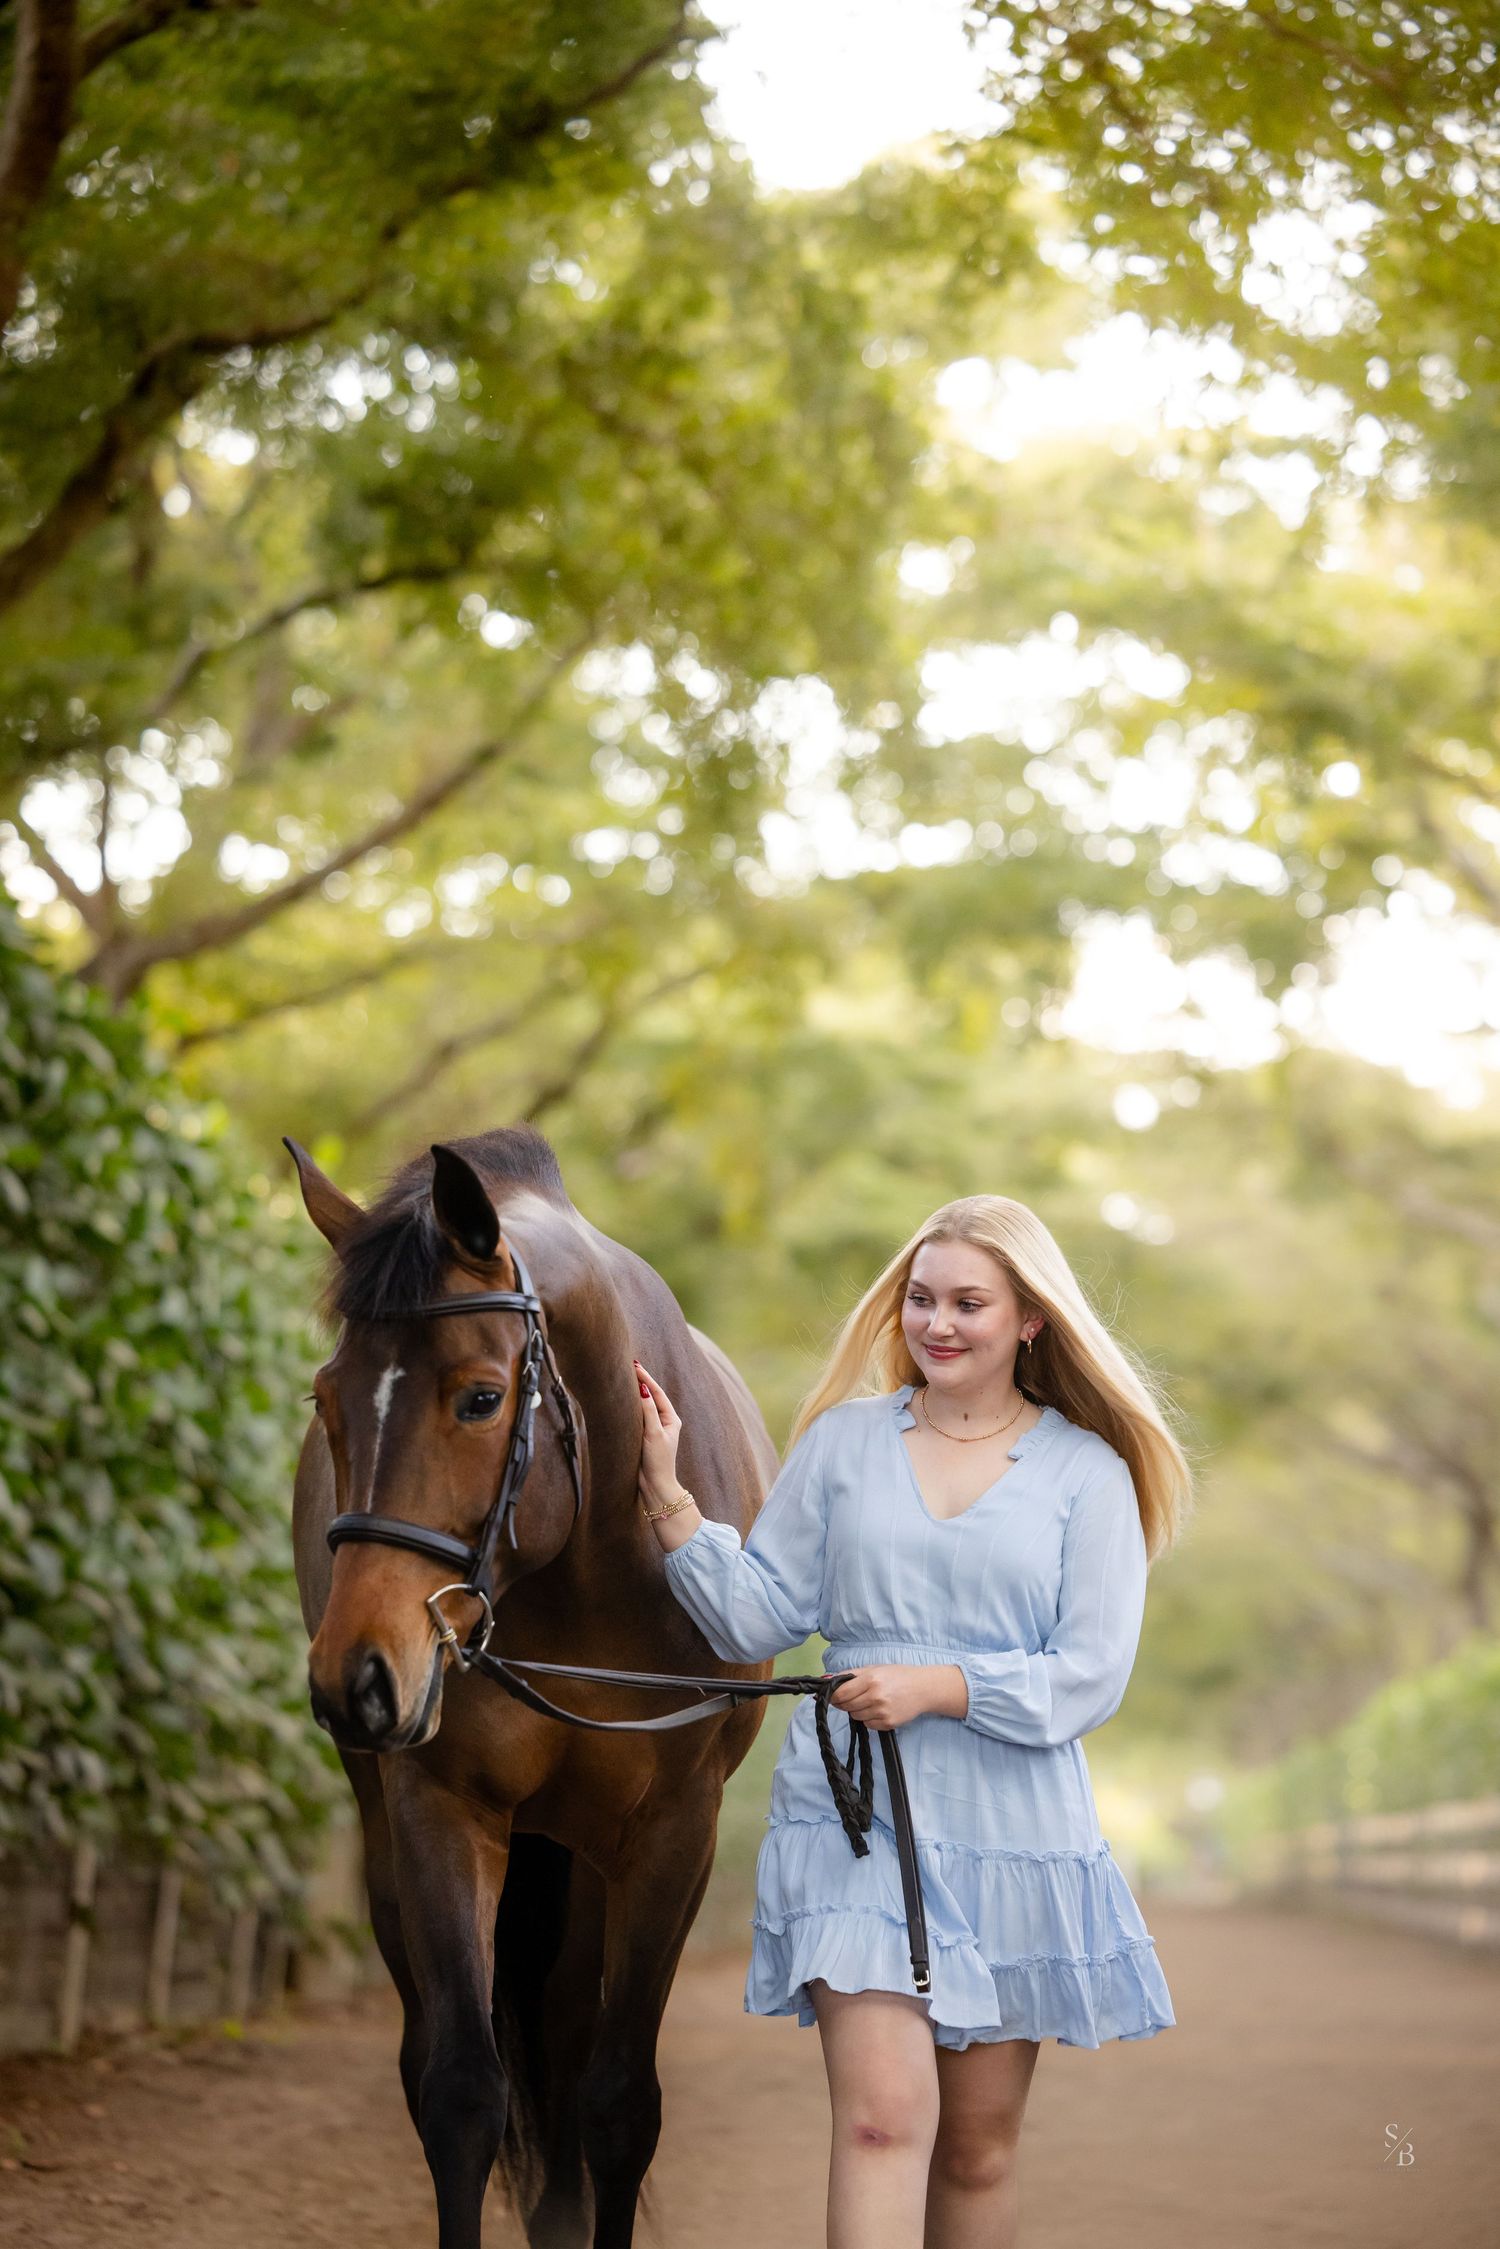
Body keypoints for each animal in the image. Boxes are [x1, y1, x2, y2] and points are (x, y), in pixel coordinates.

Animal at [284, 1124, 779, 2249]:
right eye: (326, 1399)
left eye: (480, 1396)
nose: (356, 1675)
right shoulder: (441, 1807)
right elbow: (464, 2090)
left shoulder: (672, 1831)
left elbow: (619, 2101)